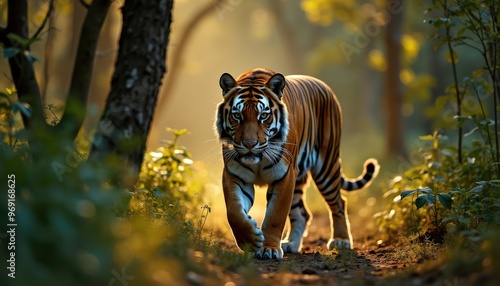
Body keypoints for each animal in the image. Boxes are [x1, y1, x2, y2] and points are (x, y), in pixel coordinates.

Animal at [215, 68, 378, 260]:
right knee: (303, 214)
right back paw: (291, 244)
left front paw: (269, 249)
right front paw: (252, 239)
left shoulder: (284, 175)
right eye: (237, 116)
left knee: (339, 203)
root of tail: (325, 86)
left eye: (264, 116)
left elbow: (275, 216)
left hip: (326, 169)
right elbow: (233, 212)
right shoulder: (235, 174)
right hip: (299, 179)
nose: (249, 144)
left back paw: (341, 240)